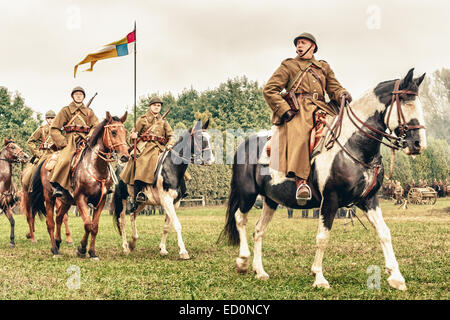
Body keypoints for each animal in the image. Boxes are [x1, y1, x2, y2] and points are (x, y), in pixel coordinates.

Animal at [29, 112, 129, 258]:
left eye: (125, 132)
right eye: (114, 132)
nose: (125, 156)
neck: (95, 167)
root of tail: (46, 159)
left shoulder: (101, 200)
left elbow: (94, 226)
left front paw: (92, 252)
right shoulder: (81, 198)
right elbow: (88, 224)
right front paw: (81, 248)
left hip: (66, 201)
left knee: (59, 217)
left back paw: (58, 242)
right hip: (49, 198)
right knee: (50, 223)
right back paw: (54, 249)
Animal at [110, 119, 213, 258]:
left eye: (209, 137)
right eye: (200, 138)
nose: (210, 160)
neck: (172, 167)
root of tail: (119, 168)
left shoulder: (175, 202)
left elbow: (167, 226)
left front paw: (163, 249)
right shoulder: (166, 201)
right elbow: (177, 224)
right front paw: (183, 252)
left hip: (142, 202)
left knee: (132, 215)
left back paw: (133, 242)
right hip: (123, 199)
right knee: (122, 221)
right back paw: (126, 247)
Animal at [220, 69, 428, 292]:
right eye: (406, 103)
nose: (418, 144)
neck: (354, 146)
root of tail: (244, 144)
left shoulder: (369, 200)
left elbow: (384, 232)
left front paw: (396, 277)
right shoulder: (330, 200)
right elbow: (322, 237)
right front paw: (319, 277)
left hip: (270, 200)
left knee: (259, 230)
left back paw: (260, 271)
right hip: (247, 194)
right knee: (240, 219)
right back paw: (242, 260)